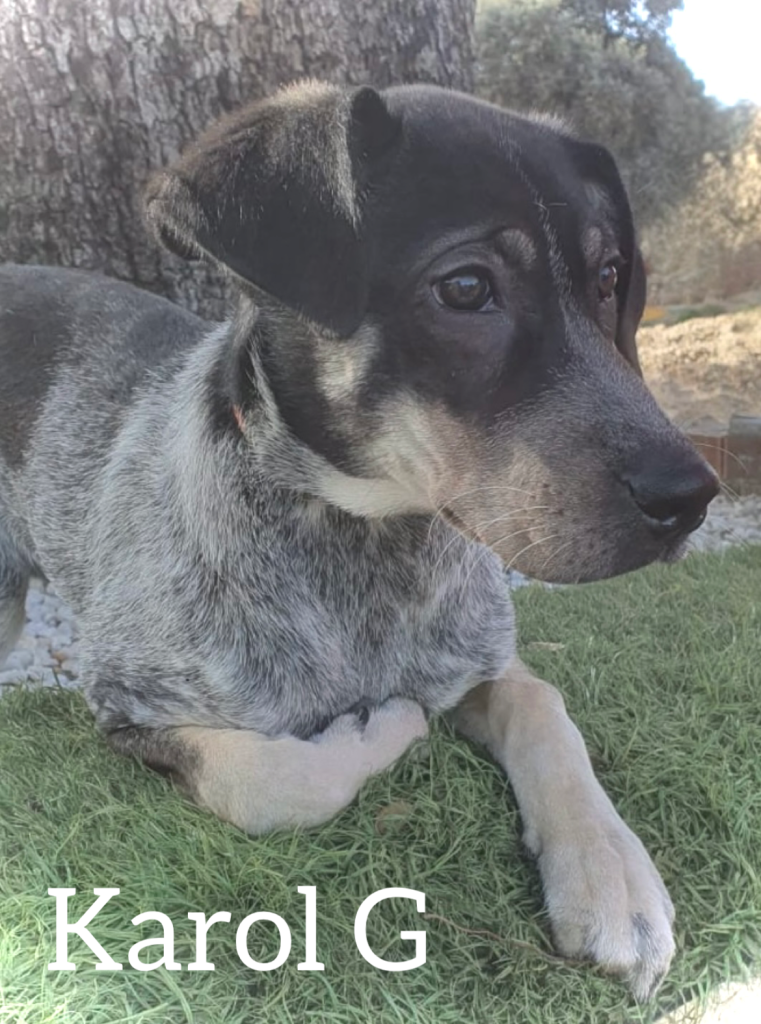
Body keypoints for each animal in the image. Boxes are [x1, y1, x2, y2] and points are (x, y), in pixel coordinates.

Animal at [0, 81, 718, 999]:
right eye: (464, 287)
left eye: (606, 278)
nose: (690, 497)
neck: (366, 546)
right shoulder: (134, 703)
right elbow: (276, 780)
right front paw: (385, 726)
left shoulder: (477, 659)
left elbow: (544, 706)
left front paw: (610, 875)